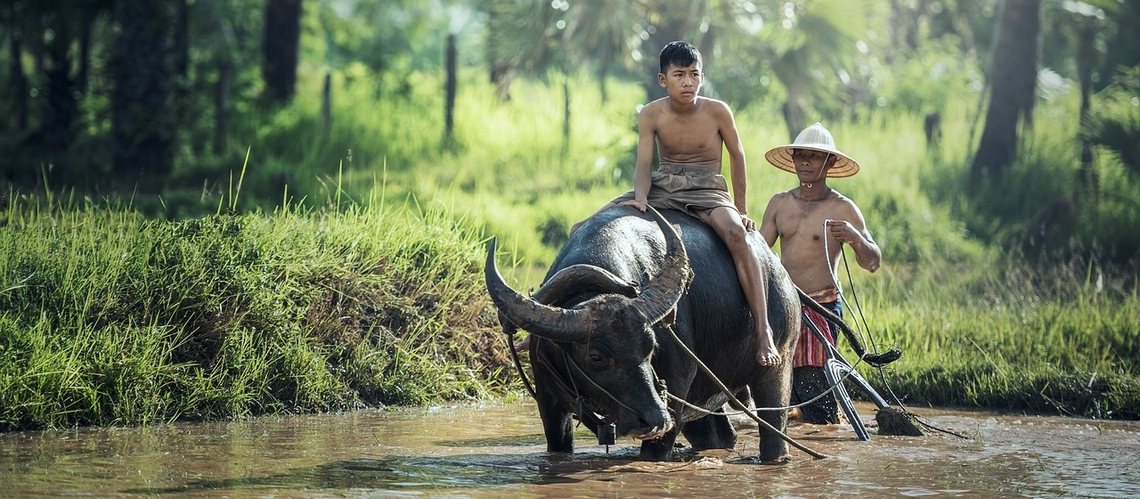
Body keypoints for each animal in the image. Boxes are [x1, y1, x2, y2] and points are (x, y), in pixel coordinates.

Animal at [483, 205, 802, 462]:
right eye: (596, 356)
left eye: (650, 347)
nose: (654, 419)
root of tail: (779, 271)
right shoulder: (549, 404)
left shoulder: (674, 392)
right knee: (718, 435)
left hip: (779, 365)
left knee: (774, 425)